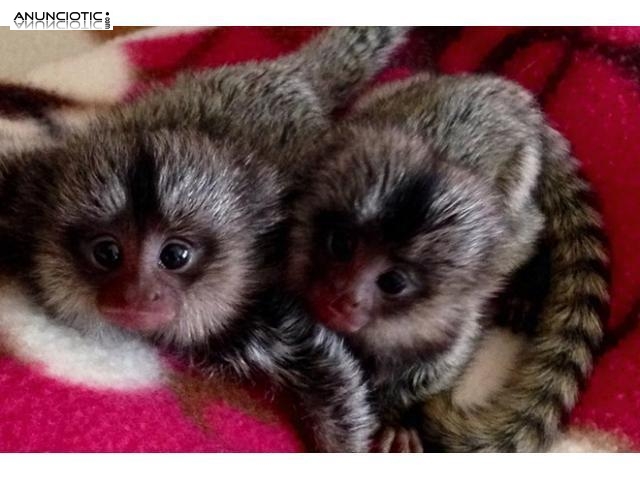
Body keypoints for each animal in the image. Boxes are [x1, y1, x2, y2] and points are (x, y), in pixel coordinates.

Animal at [0, 26, 410, 452]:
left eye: (175, 256)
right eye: (108, 252)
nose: (137, 294)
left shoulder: (263, 309)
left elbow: (327, 370)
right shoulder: (25, 190)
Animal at [286, 72, 609, 452]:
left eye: (393, 282)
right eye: (341, 245)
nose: (341, 297)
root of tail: (517, 104)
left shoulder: (455, 320)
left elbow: (439, 363)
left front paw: (396, 416)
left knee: (530, 230)